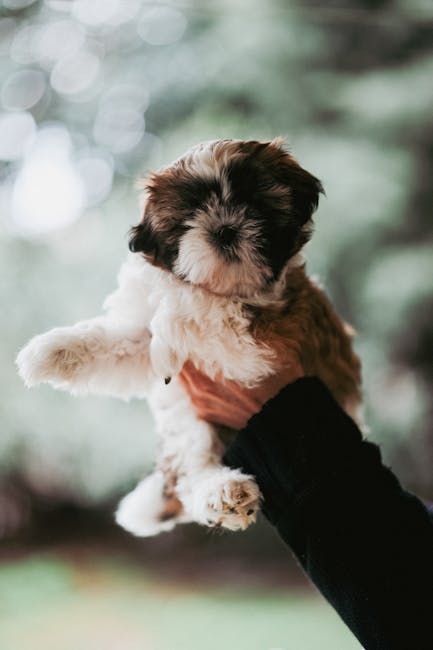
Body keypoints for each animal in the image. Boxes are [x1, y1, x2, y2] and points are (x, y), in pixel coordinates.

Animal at [16, 139, 362, 536]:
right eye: (188, 217)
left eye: (253, 203)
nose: (225, 229)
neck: (228, 288)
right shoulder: (145, 343)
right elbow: (120, 340)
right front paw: (48, 352)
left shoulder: (270, 338)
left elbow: (194, 306)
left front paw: (175, 312)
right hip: (190, 423)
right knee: (195, 467)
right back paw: (222, 491)